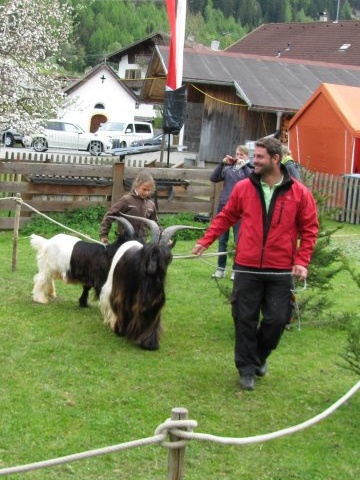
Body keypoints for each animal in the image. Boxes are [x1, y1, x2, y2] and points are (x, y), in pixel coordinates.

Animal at [100, 216, 202, 350]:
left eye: (166, 257)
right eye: (149, 252)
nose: (151, 269)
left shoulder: (154, 300)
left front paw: (149, 343)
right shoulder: (123, 293)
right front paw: (120, 330)